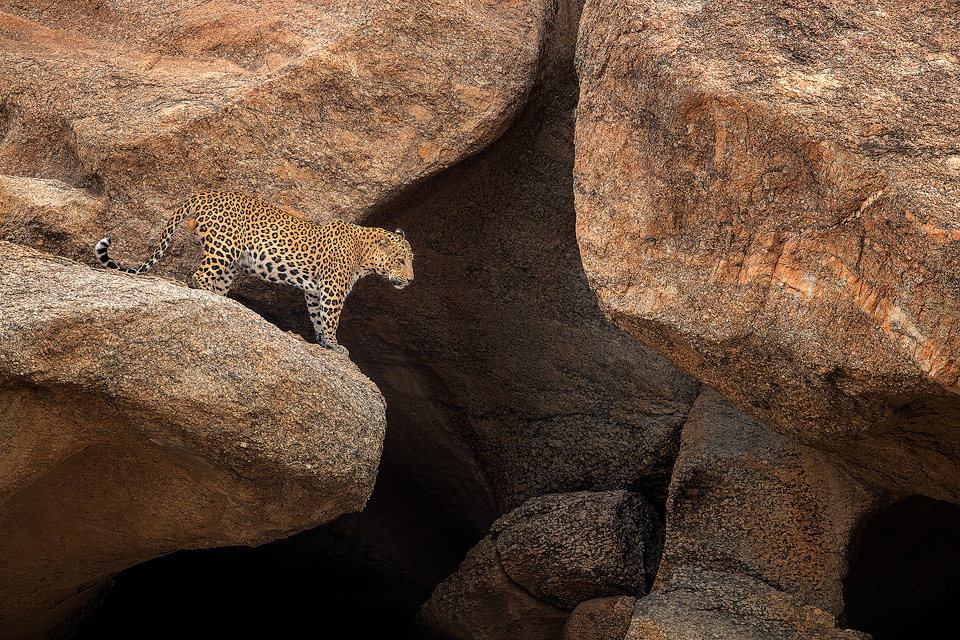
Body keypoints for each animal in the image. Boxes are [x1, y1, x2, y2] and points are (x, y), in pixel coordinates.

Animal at [94, 190, 412, 356]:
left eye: (410, 261)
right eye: (401, 260)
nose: (410, 280)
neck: (364, 254)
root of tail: (204, 192)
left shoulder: (314, 292)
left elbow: (318, 318)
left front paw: (324, 343)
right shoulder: (333, 290)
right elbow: (331, 319)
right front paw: (336, 346)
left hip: (230, 262)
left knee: (215, 281)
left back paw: (227, 302)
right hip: (224, 248)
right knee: (199, 276)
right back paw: (212, 296)